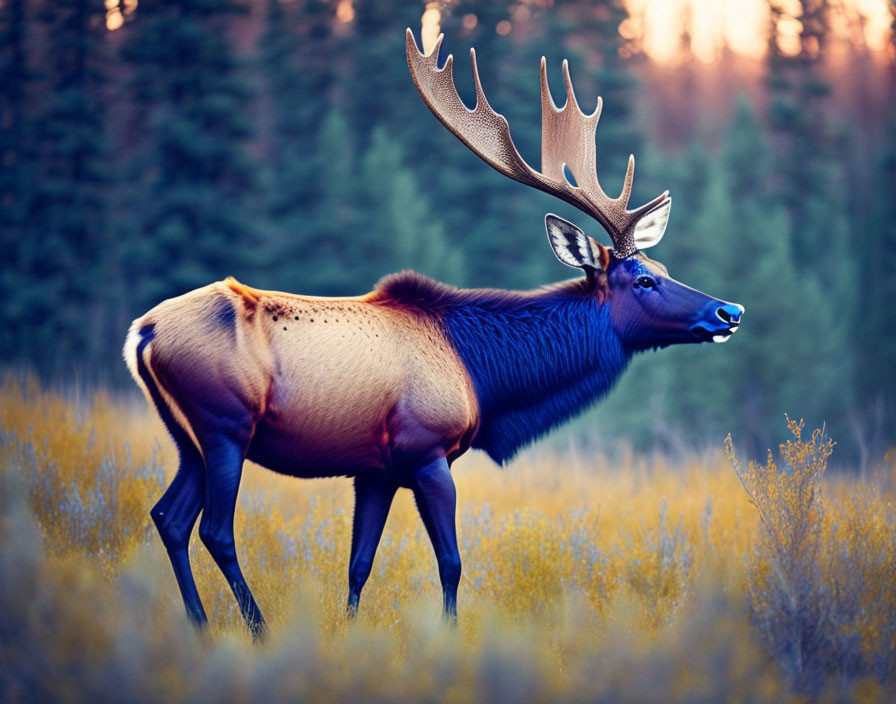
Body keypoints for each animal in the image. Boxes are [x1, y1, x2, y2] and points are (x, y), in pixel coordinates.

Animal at [124, 31, 744, 640]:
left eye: (663, 269)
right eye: (643, 280)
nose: (729, 310)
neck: (487, 378)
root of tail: (142, 333)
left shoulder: (374, 470)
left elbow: (359, 564)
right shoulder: (427, 452)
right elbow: (451, 563)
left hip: (187, 438)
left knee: (169, 517)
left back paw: (199, 624)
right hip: (224, 425)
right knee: (215, 529)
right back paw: (255, 627)